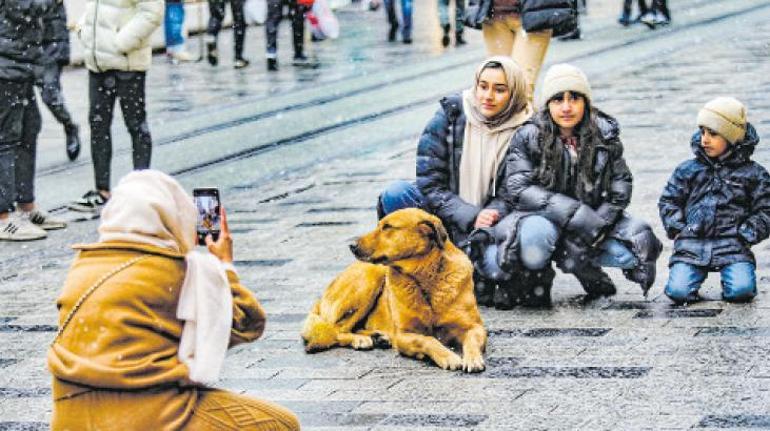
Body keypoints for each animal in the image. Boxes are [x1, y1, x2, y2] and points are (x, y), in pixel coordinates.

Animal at [302, 208, 486, 372]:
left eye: (387, 227)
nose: (351, 245)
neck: (424, 280)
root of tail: (320, 300)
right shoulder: (404, 335)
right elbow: (428, 340)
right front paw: (448, 356)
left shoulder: (475, 327)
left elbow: (471, 339)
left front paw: (473, 359)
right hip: (371, 277)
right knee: (336, 330)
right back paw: (361, 340)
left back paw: (378, 337)